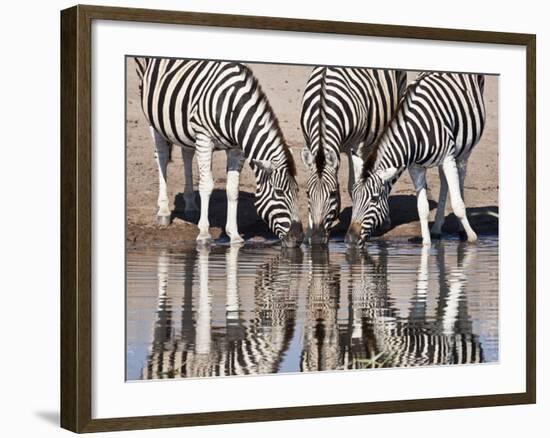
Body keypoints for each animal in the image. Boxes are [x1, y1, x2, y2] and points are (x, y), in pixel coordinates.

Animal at [136, 57, 304, 246]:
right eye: (279, 192)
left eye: (298, 191)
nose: (298, 238)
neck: (232, 108)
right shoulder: (204, 137)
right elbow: (206, 185)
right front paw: (204, 234)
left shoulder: (236, 148)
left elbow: (233, 189)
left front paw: (235, 235)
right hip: (152, 113)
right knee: (162, 156)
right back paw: (163, 211)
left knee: (187, 153)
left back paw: (190, 205)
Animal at [300, 66, 408, 243]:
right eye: (307, 194)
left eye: (332, 194)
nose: (316, 239)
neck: (324, 105)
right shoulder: (309, 142)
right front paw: (308, 233)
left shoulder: (356, 146)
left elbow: (354, 186)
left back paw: (385, 220)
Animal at [348, 72, 490, 246]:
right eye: (354, 197)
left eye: (374, 199)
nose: (350, 239)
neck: (414, 134)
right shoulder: (415, 167)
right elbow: (422, 208)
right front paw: (426, 244)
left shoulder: (448, 158)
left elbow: (457, 205)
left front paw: (472, 237)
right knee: (444, 181)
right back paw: (436, 228)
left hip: (464, 149)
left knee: (461, 176)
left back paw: (462, 229)